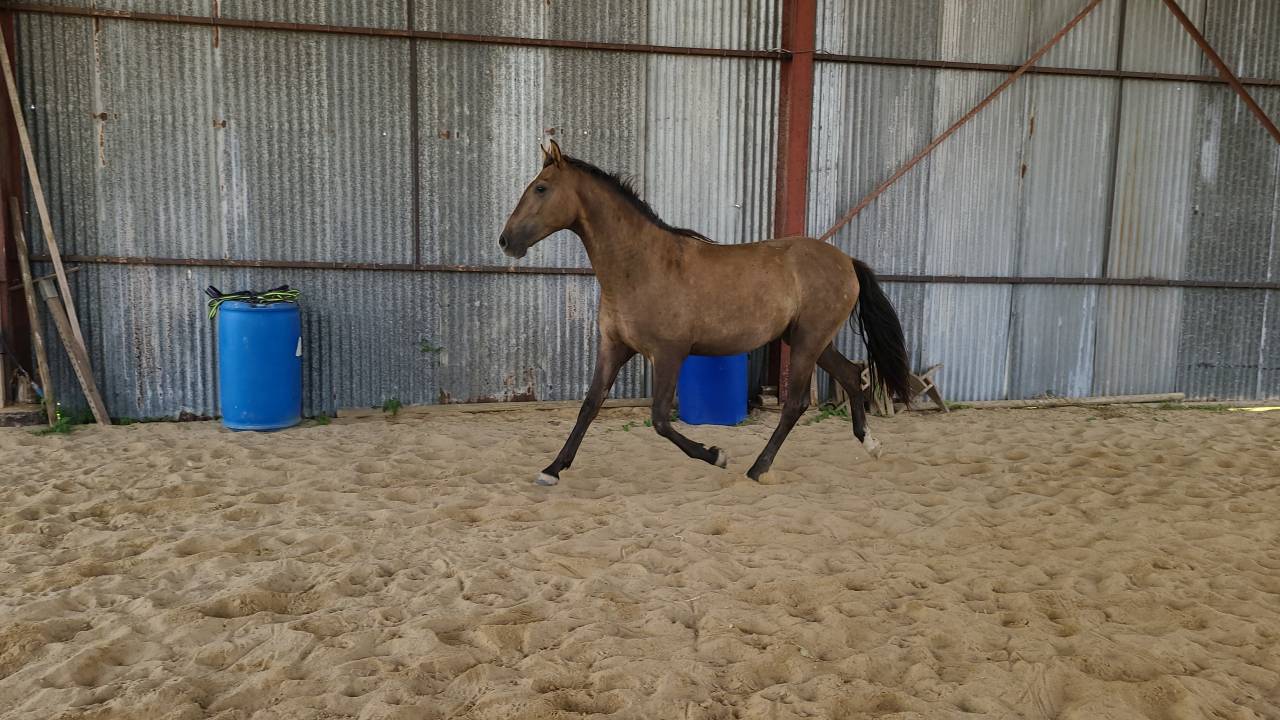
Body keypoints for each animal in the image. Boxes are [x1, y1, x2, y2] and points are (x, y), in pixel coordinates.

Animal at [499, 140, 912, 486]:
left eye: (541, 188)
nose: (506, 241)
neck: (641, 265)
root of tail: (847, 261)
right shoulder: (614, 347)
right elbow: (589, 406)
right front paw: (552, 469)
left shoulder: (668, 354)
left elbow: (660, 419)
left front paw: (716, 455)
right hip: (810, 340)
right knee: (852, 375)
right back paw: (871, 444)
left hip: (809, 341)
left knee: (796, 403)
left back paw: (758, 468)